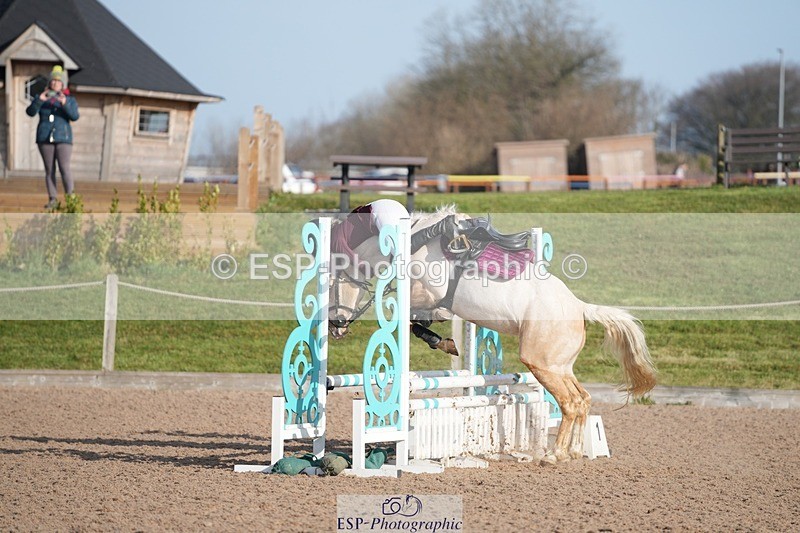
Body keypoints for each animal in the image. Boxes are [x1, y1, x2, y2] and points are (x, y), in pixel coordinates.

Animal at [328, 205, 656, 464]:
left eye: (332, 281)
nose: (335, 326)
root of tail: (579, 306)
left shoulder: (426, 295)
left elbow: (414, 320)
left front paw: (443, 342)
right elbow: (417, 321)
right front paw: (445, 342)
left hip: (541, 363)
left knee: (571, 403)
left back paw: (554, 455)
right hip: (560, 366)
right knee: (583, 399)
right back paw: (574, 451)